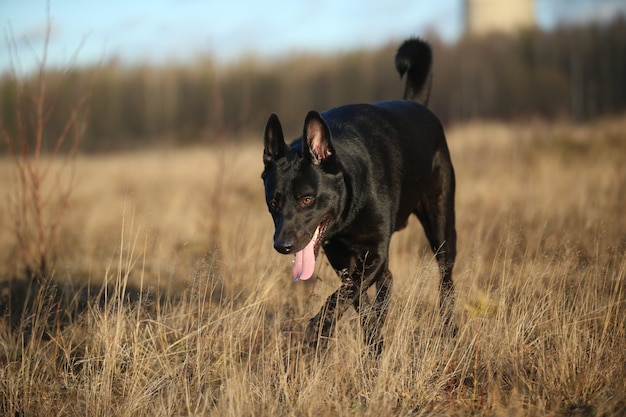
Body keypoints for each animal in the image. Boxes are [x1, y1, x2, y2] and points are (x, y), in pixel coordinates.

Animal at [260, 38, 456, 352]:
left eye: (307, 199)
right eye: (273, 202)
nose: (283, 246)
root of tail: (416, 104)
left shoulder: (374, 251)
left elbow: (345, 294)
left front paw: (318, 329)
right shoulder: (342, 258)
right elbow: (355, 297)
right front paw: (370, 340)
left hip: (441, 226)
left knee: (446, 278)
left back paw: (449, 329)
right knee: (387, 282)